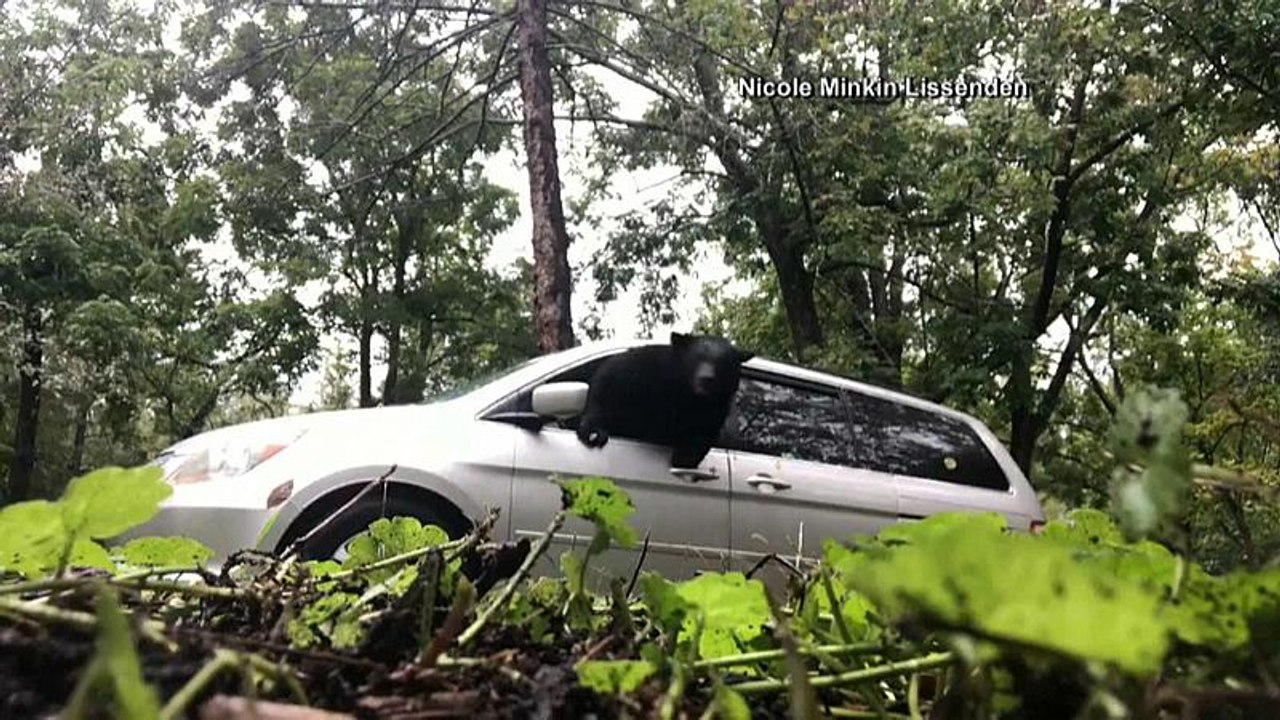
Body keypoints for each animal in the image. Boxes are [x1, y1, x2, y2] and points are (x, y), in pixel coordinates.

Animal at [575, 332, 755, 468]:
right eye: (697, 357)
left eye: (722, 362)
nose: (706, 378)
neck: (689, 394)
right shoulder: (648, 370)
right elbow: (608, 378)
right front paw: (593, 431)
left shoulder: (715, 408)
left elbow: (703, 432)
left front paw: (684, 457)